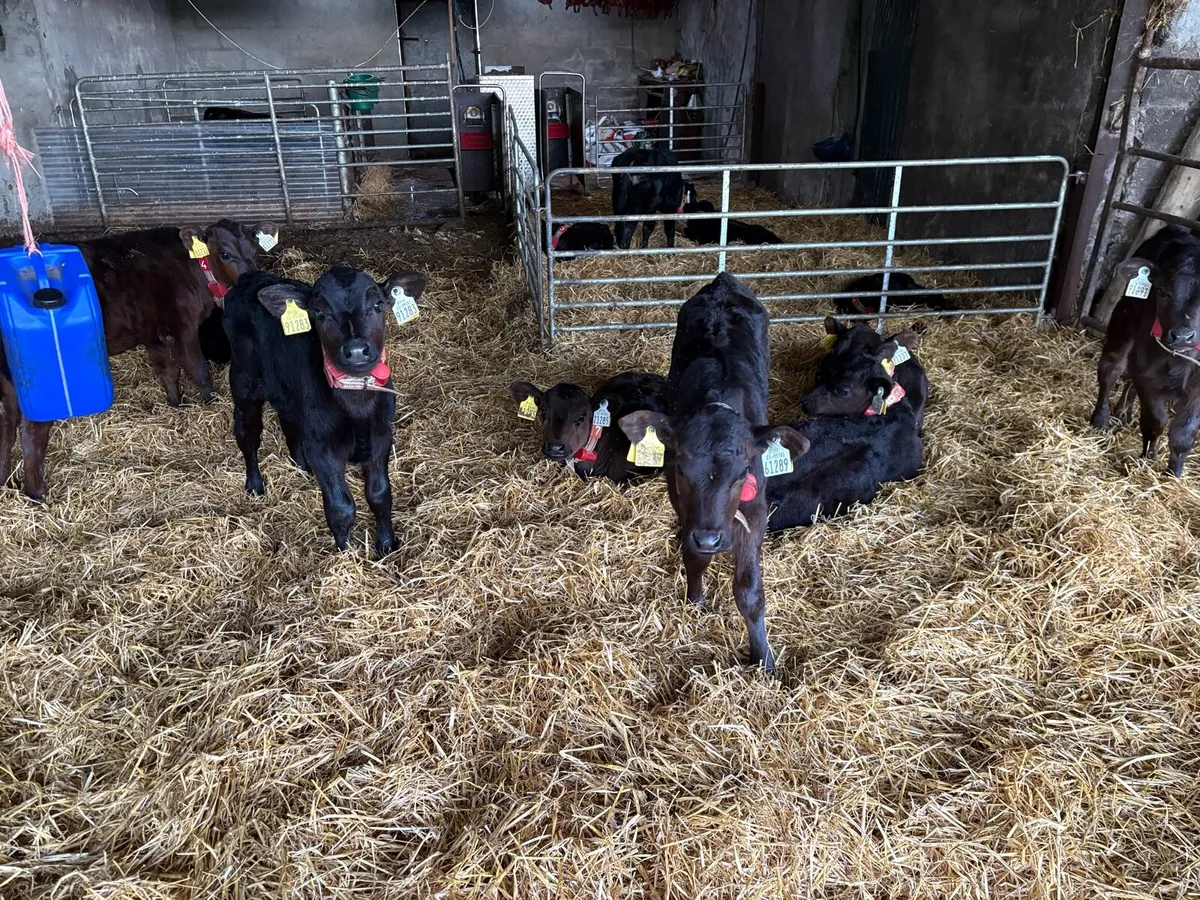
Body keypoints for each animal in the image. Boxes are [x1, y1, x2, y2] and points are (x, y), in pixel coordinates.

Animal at [222, 265, 427, 554]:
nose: (356, 350)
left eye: (378, 305)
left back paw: (301, 468)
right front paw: (345, 553)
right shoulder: (323, 448)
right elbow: (341, 507)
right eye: (319, 313)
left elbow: (380, 495)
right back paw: (254, 485)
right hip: (243, 382)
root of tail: (251, 277)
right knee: (247, 432)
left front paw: (387, 545)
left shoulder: (381, 436)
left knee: (289, 423)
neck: (357, 404)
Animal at [618, 273, 809, 672]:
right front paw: (695, 600)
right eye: (680, 469)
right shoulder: (683, 508)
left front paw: (763, 657)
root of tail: (723, 282)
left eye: (742, 474)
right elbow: (694, 556)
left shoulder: (755, 510)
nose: (709, 537)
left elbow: (749, 589)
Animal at [1090, 225, 1200, 476]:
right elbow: (1155, 422)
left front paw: (1173, 473)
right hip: (1122, 325)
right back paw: (1100, 419)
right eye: (1162, 292)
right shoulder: (1147, 377)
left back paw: (1124, 412)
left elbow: (1183, 434)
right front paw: (1147, 457)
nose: (1182, 335)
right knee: (1110, 369)